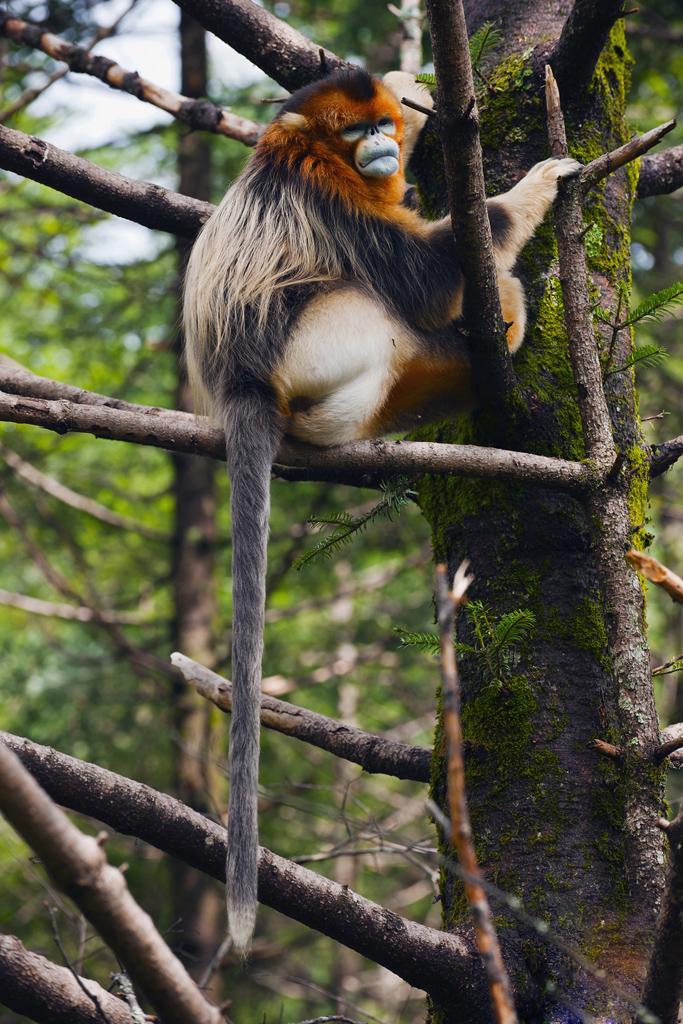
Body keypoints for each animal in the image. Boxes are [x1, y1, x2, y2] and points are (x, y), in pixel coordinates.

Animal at [182, 68, 580, 953]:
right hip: (313, 346)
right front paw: (538, 185)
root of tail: (235, 388)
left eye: (381, 125)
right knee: (390, 306)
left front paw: (414, 86)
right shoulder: (325, 194)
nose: (384, 146)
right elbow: (432, 272)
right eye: (353, 130)